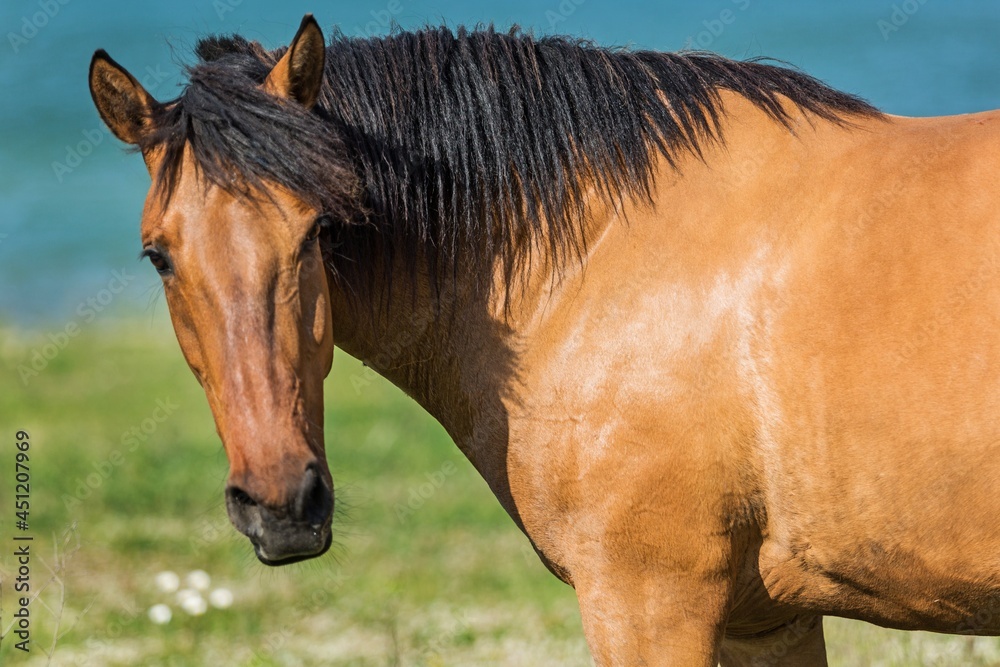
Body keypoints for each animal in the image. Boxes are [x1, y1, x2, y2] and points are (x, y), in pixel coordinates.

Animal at [90, 14, 1000, 667]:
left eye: (318, 230)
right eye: (159, 255)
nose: (282, 505)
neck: (593, 257)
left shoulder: (646, 601)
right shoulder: (767, 619)